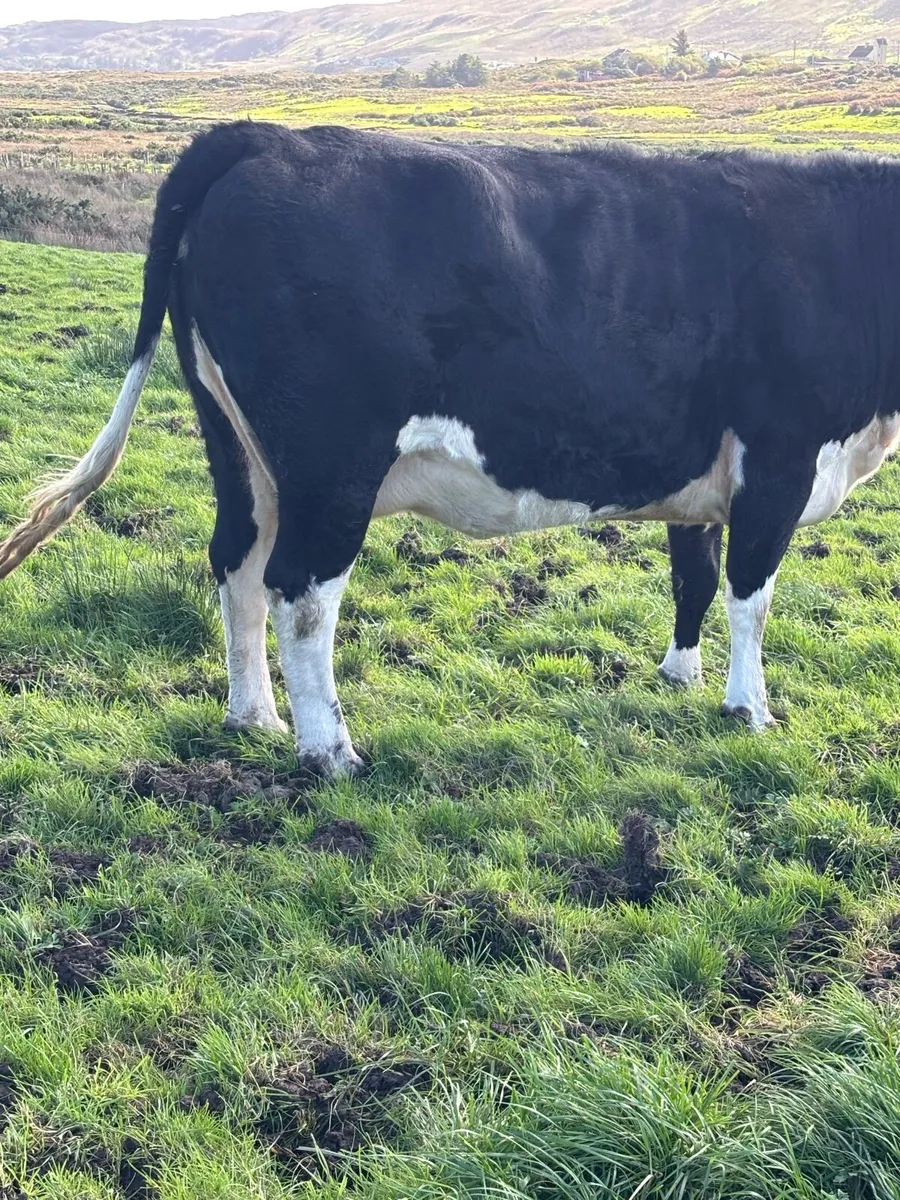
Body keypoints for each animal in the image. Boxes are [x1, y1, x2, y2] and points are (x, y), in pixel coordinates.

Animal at [1, 122, 898, 778]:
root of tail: (265, 136)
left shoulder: (706, 474)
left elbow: (695, 579)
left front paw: (681, 678)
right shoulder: (780, 459)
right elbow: (751, 596)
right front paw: (750, 709)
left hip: (239, 453)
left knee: (238, 569)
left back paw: (254, 718)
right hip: (331, 466)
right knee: (301, 592)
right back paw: (329, 749)